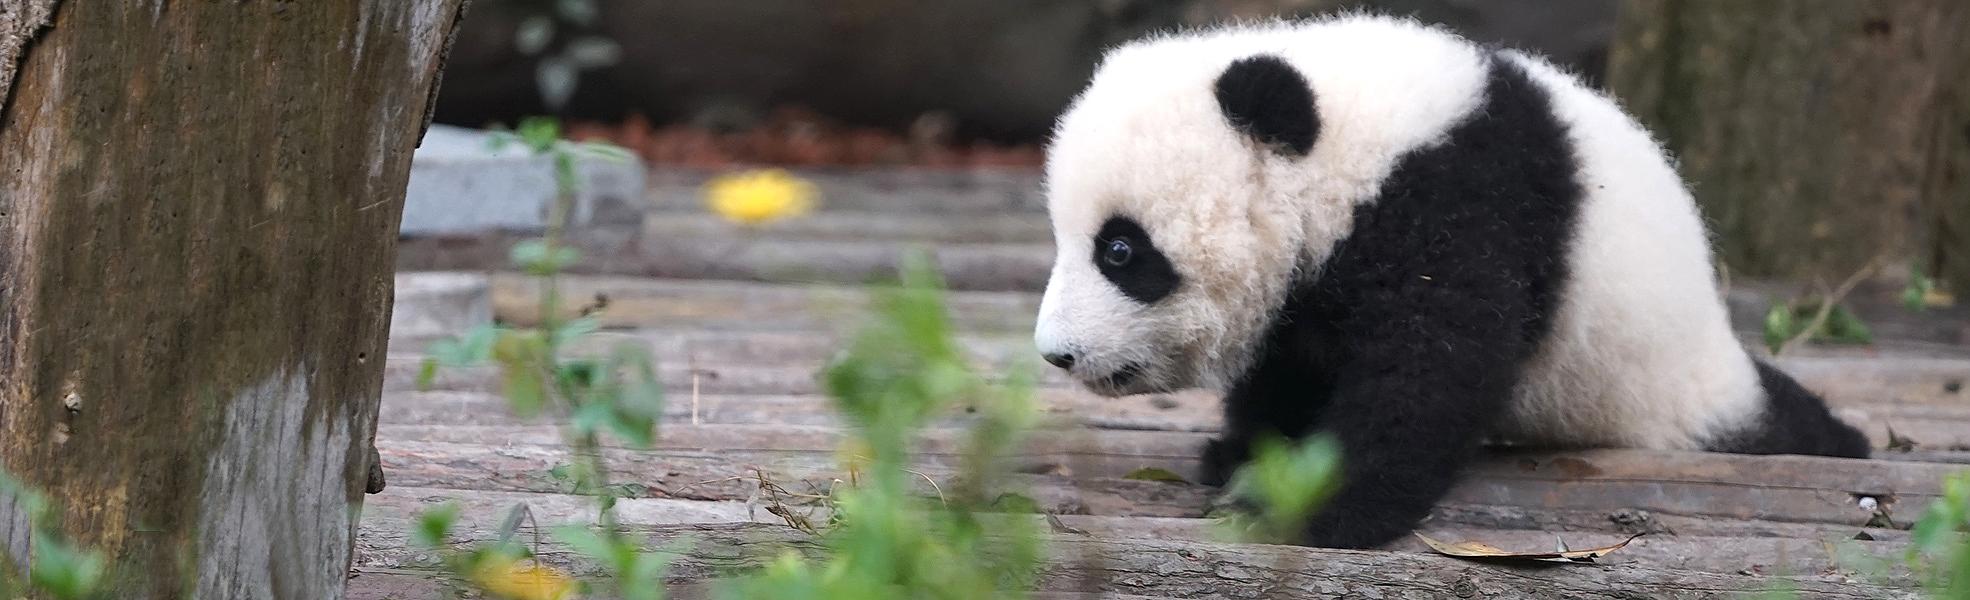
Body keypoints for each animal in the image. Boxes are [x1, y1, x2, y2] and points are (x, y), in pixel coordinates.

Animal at [1031, 14, 1871, 550]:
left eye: (1120, 251)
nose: (1057, 354)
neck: (1353, 148)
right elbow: (1295, 361)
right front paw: (1246, 457)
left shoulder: (1461, 206)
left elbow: (1428, 373)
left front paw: (1309, 508)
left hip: (1661, 381)